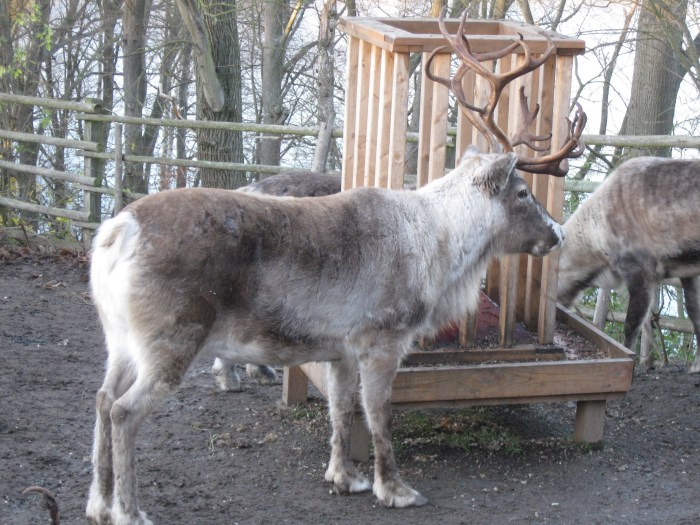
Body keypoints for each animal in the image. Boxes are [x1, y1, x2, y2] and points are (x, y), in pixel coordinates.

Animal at [86, 9, 585, 524]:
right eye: (522, 192)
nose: (558, 233)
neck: (440, 245)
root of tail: (117, 231)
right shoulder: (383, 340)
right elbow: (380, 417)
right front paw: (394, 488)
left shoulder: (340, 349)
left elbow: (341, 411)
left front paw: (344, 477)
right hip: (171, 340)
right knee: (123, 411)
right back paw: (129, 511)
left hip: (120, 340)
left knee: (102, 399)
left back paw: (99, 503)